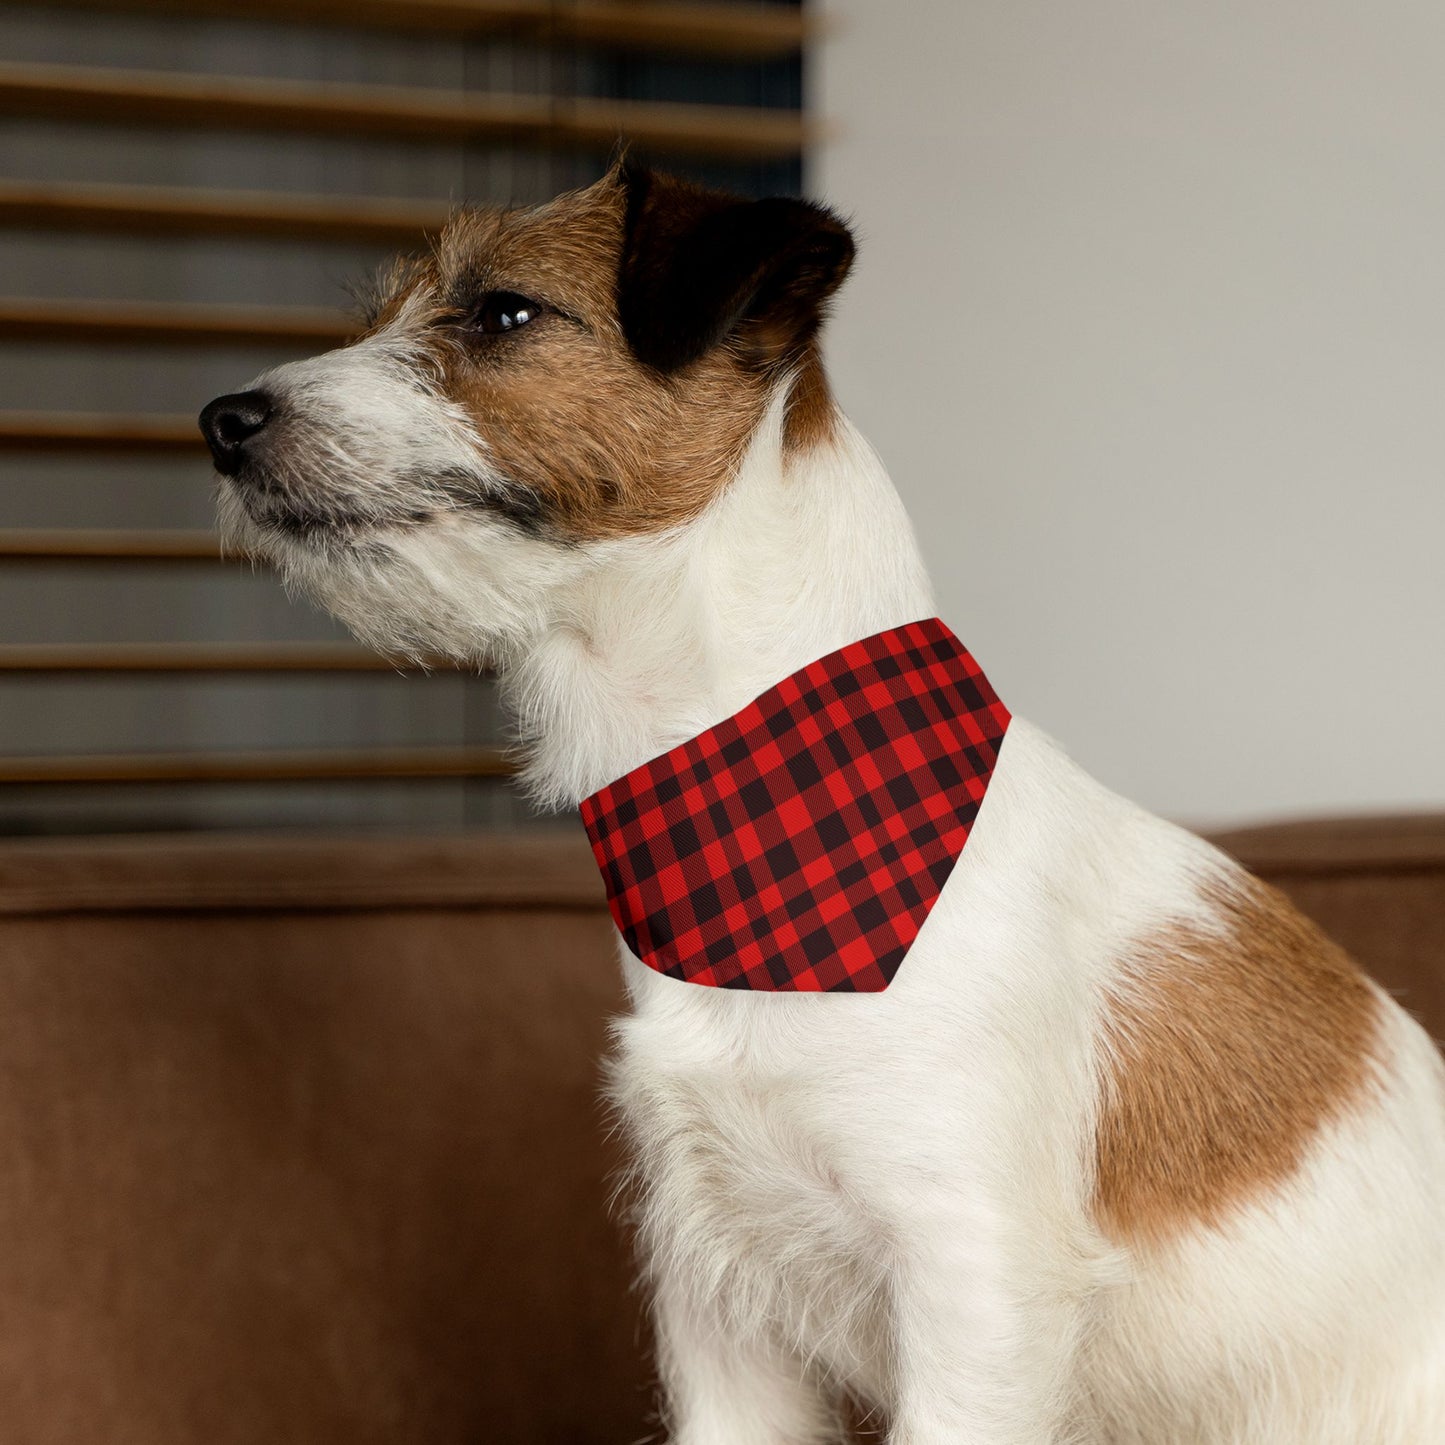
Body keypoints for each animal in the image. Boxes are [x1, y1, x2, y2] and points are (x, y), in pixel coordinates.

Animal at [200, 166, 1445, 1445]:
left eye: (502, 312)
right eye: (382, 314)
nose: (222, 421)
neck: (765, 827)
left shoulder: (971, 1291)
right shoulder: (716, 1303)